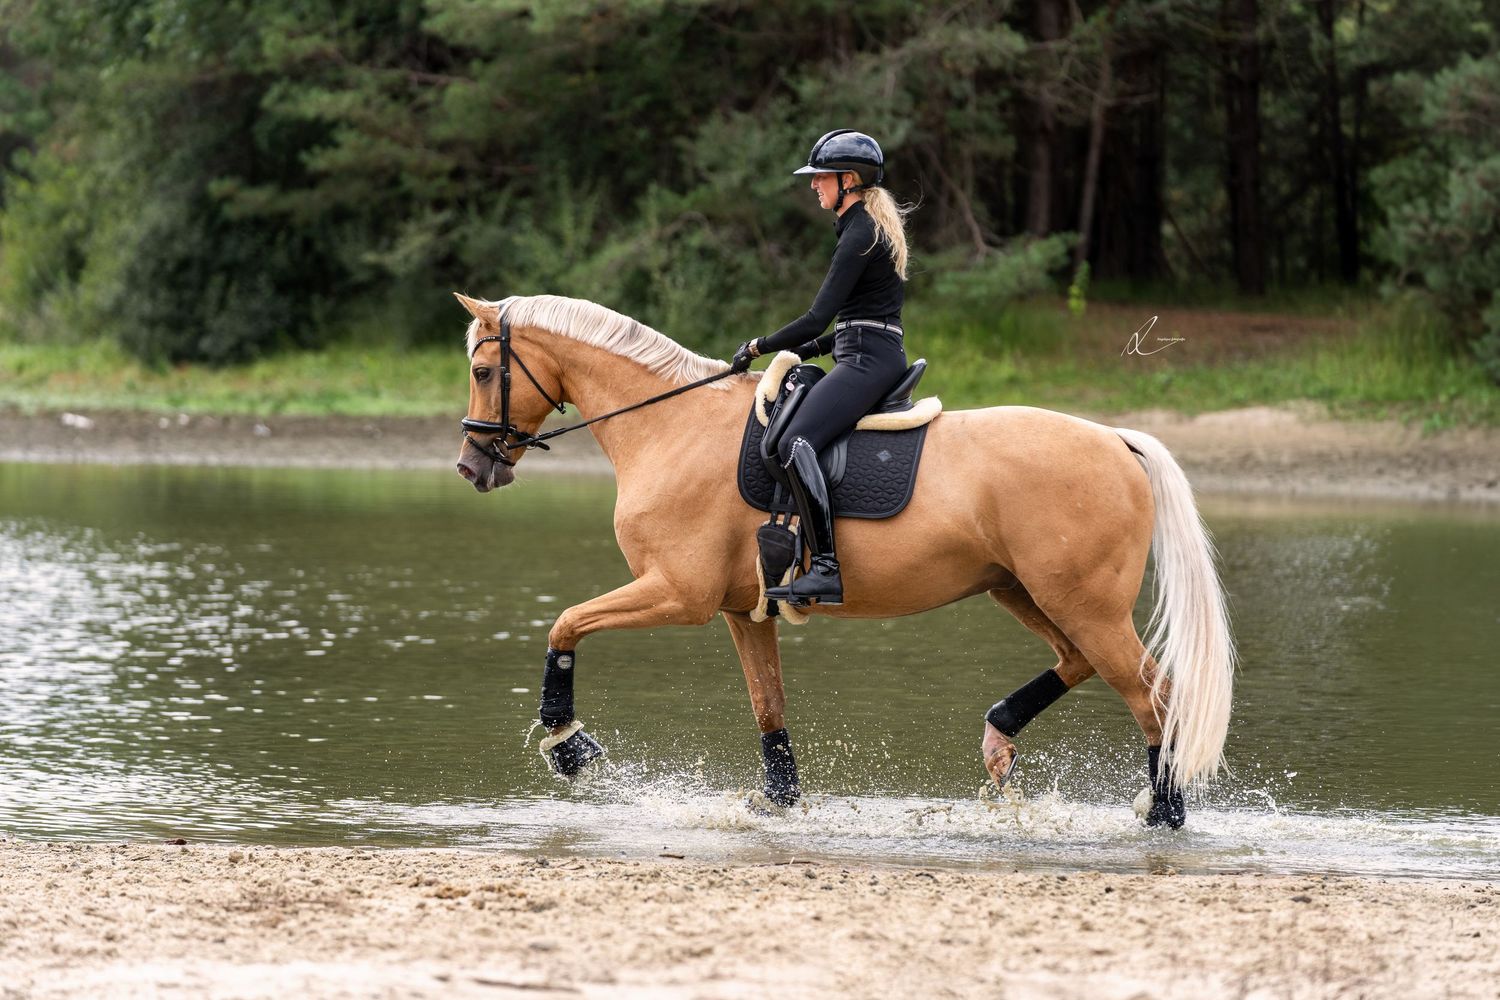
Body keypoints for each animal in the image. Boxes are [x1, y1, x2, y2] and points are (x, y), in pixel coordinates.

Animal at [453, 292, 1235, 827]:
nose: (471, 465)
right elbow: (768, 703)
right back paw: (1001, 736)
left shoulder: (678, 592)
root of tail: (1115, 439)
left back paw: (1165, 811)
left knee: (1155, 696)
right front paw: (779, 800)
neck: (670, 426)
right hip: (1025, 592)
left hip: (1083, 603)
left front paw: (568, 743)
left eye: (485, 370)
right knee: (1079, 664)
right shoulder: (742, 610)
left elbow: (564, 623)